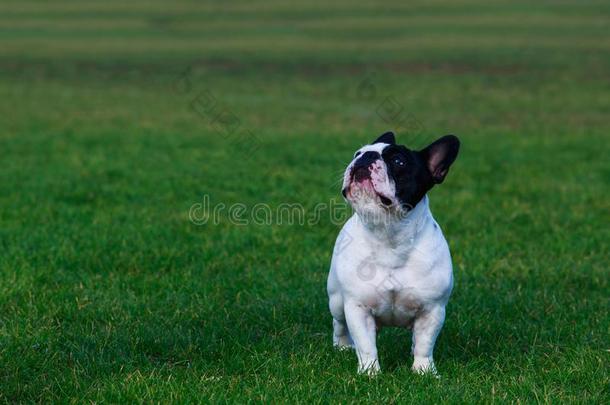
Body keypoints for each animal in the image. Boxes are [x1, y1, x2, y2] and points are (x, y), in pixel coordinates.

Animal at [326, 131, 458, 374]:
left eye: (398, 161)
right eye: (357, 153)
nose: (366, 156)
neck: (389, 234)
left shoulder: (432, 310)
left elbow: (425, 343)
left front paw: (424, 371)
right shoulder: (358, 308)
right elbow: (366, 345)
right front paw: (370, 372)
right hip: (337, 300)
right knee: (339, 323)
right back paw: (342, 346)